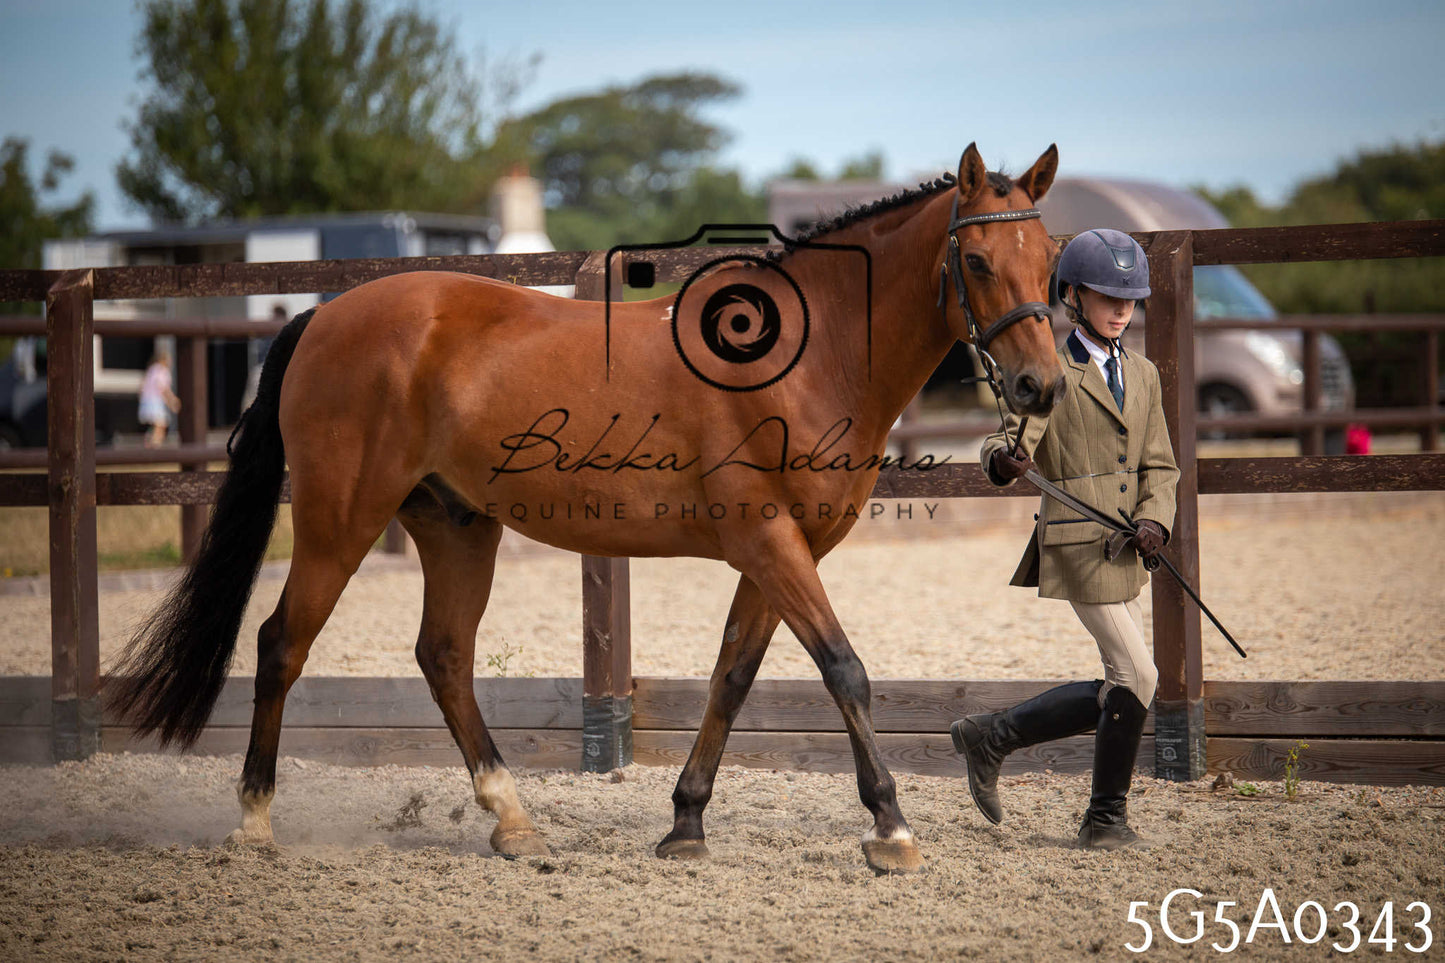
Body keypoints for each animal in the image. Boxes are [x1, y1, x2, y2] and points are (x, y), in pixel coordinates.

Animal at [108, 143, 1066, 874]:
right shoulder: (770, 544)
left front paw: (685, 823)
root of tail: (326, 313)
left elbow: (731, 676)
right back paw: (253, 821)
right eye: (976, 261)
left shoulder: (781, 553)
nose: (1040, 386)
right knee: (282, 644)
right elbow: (843, 668)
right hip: (339, 521)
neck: (803, 356)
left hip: (455, 526)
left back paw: (512, 819)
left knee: (443, 656)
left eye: (1049, 263)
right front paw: (891, 828)